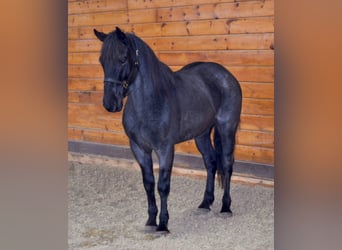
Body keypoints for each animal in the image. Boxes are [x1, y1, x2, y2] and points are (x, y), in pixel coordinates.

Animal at [94, 27, 243, 232]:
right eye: (102, 61)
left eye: (123, 58)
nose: (110, 103)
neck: (150, 103)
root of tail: (226, 75)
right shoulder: (139, 149)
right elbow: (149, 184)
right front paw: (151, 221)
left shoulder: (165, 149)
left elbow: (163, 186)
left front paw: (163, 225)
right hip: (202, 135)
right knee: (211, 162)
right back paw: (205, 203)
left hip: (226, 129)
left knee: (227, 164)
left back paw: (226, 207)